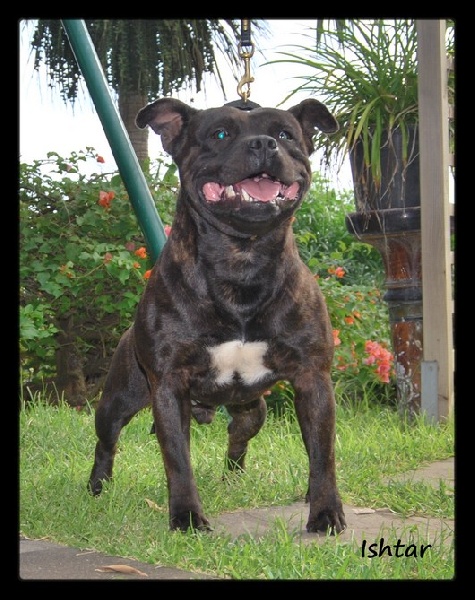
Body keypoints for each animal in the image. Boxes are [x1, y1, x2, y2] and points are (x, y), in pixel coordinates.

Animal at [88, 97, 346, 535]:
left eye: (285, 134)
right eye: (220, 134)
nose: (263, 144)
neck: (241, 257)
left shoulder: (314, 379)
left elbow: (322, 453)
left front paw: (325, 510)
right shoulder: (169, 386)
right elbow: (178, 461)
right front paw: (187, 517)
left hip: (252, 409)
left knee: (238, 438)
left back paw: (234, 477)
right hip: (119, 399)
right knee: (106, 442)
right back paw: (97, 487)